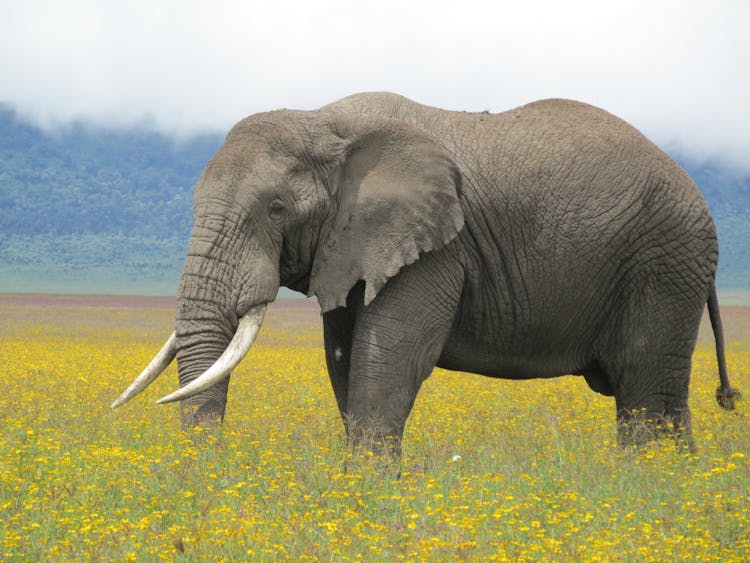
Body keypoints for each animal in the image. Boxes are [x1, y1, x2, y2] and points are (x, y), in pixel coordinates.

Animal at [111, 91, 740, 454]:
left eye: (276, 209)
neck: (328, 122)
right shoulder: (352, 247)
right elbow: (344, 357)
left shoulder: (437, 245)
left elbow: (391, 354)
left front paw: (370, 498)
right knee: (664, 398)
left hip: (664, 263)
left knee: (644, 393)